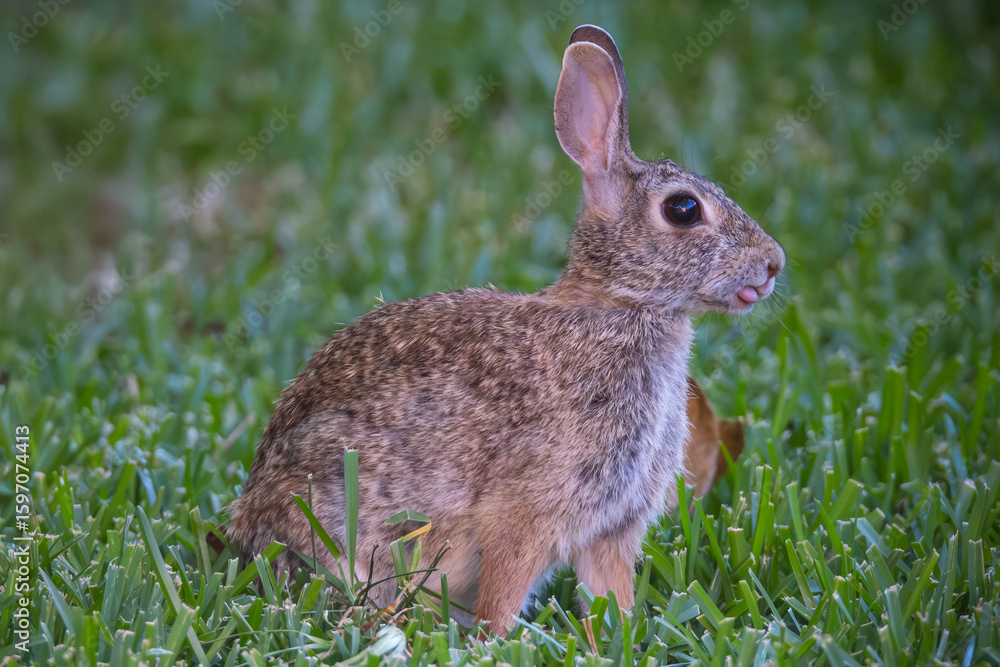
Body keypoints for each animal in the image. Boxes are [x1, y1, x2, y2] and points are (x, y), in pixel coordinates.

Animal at [228, 23, 785, 636]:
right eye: (684, 210)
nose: (773, 264)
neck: (620, 304)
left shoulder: (611, 526)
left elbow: (610, 595)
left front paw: (617, 640)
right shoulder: (526, 513)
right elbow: (505, 586)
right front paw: (495, 641)